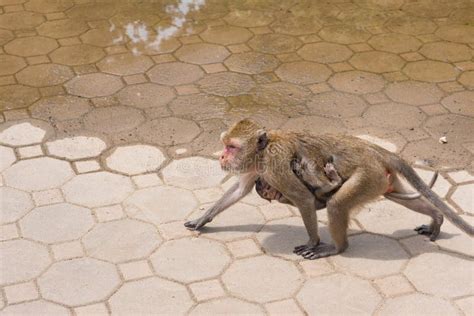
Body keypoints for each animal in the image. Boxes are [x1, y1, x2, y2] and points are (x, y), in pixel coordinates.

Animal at [186, 118, 474, 260]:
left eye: (231, 147)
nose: (223, 157)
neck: (263, 150)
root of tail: (375, 150)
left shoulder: (276, 165)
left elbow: (303, 198)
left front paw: (312, 242)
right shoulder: (258, 168)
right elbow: (239, 190)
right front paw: (203, 218)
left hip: (366, 176)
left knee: (337, 205)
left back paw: (337, 247)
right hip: (381, 179)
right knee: (399, 196)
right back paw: (436, 218)